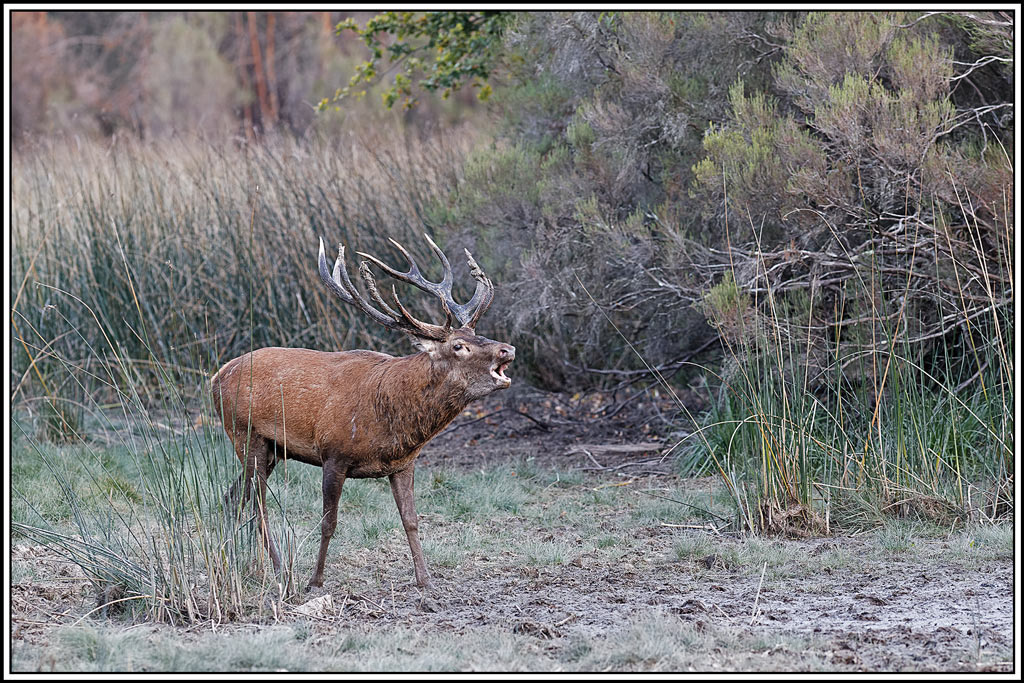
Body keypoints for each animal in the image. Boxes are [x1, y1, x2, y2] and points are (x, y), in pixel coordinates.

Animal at [210, 233, 515, 591]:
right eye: (458, 346)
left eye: (476, 335)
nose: (507, 349)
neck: (392, 424)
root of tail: (217, 376)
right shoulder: (333, 453)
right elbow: (329, 522)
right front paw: (315, 581)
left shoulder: (405, 464)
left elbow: (411, 520)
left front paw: (426, 581)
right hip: (245, 434)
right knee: (258, 505)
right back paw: (280, 570)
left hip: (271, 450)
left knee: (232, 498)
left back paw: (229, 558)